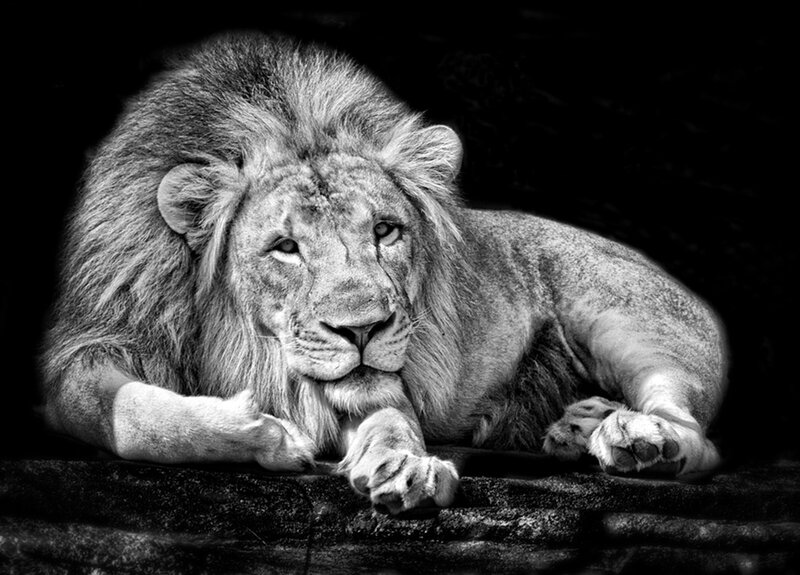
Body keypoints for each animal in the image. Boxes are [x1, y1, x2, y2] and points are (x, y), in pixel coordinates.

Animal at [41, 32, 726, 514]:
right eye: (285, 247)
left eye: (386, 231)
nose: (363, 330)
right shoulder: (90, 344)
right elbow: (130, 416)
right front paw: (266, 433)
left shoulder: (378, 386)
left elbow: (391, 416)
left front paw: (404, 466)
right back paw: (577, 424)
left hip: (622, 321)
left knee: (695, 434)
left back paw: (639, 440)